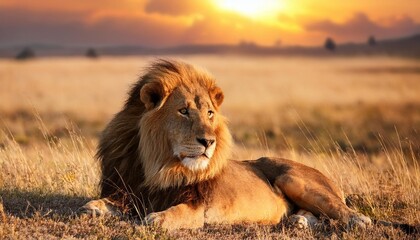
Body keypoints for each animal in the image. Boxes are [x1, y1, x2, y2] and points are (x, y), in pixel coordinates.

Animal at [82, 59, 370, 231]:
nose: (208, 142)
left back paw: (355, 221)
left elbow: (172, 214)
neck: (156, 164)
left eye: (210, 113)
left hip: (295, 179)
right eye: (183, 111)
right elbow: (98, 203)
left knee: (346, 211)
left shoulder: (199, 207)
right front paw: (93, 208)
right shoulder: (130, 191)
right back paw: (298, 221)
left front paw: (156, 217)